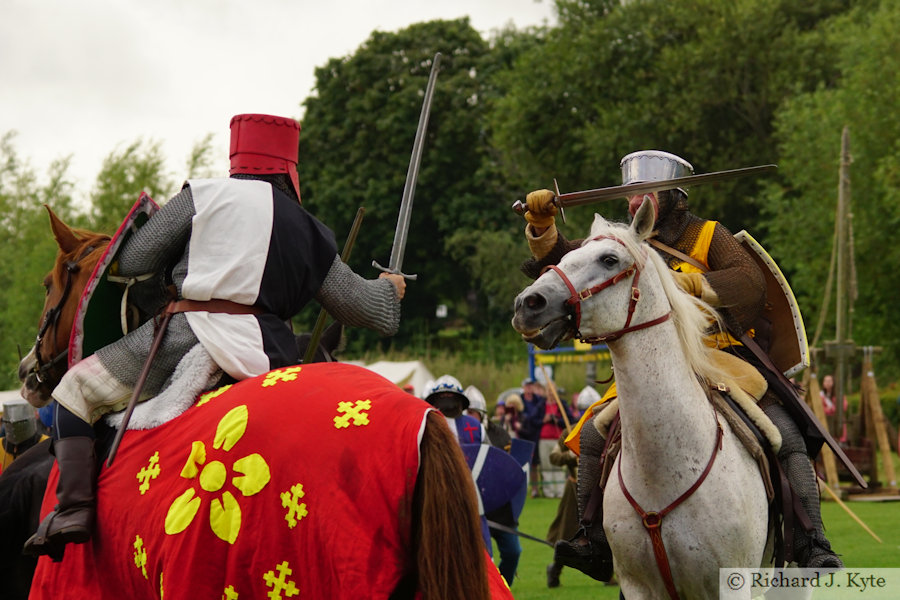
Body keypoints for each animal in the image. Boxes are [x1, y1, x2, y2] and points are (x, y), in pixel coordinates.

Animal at [510, 199, 768, 596]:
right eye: (569, 254)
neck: (666, 468)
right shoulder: (639, 586)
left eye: (609, 260)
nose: (528, 304)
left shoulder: (733, 583)